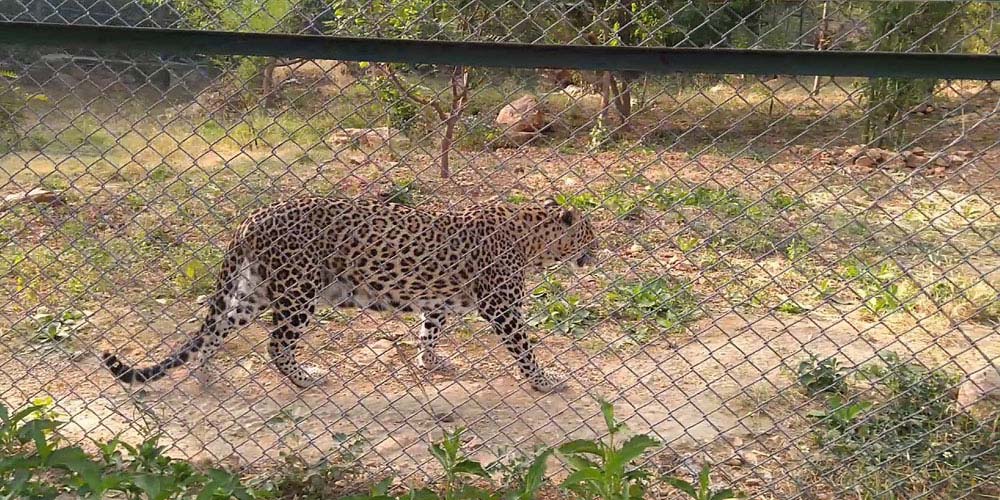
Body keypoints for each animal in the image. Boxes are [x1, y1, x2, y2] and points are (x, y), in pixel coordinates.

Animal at [102, 194, 596, 390]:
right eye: (589, 233)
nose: (598, 251)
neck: (532, 239)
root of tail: (253, 216)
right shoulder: (501, 305)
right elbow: (524, 346)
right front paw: (544, 381)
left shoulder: (439, 299)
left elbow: (429, 330)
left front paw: (431, 362)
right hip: (298, 291)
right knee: (276, 344)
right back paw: (305, 378)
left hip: (255, 288)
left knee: (217, 329)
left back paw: (206, 377)